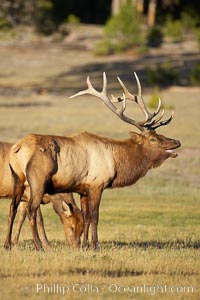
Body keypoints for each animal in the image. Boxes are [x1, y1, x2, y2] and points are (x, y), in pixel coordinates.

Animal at [6, 73, 181, 251]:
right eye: (153, 139)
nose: (177, 142)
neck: (117, 161)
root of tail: (18, 148)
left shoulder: (83, 189)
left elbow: (86, 217)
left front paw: (84, 246)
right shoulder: (97, 184)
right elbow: (95, 216)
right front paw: (95, 245)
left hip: (17, 179)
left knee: (12, 207)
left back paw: (7, 245)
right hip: (37, 180)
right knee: (31, 210)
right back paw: (39, 246)